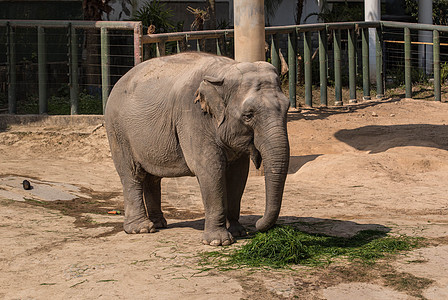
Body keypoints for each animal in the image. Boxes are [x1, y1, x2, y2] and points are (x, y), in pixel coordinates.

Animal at [107, 51, 292, 245]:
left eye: (287, 108)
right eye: (248, 115)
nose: (257, 224)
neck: (224, 71)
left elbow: (238, 174)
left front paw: (239, 232)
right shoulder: (193, 117)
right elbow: (210, 170)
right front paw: (219, 242)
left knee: (152, 177)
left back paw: (159, 224)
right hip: (118, 131)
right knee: (132, 175)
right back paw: (142, 229)